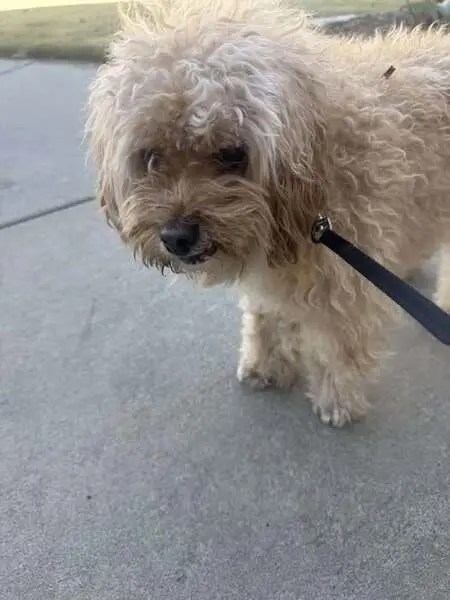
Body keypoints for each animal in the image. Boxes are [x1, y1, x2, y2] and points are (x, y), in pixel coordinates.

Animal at [86, 0, 450, 426]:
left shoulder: (343, 283)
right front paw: (265, 364)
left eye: (232, 153)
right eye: (151, 157)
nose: (176, 237)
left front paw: (337, 398)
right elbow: (264, 316)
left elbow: (337, 344)